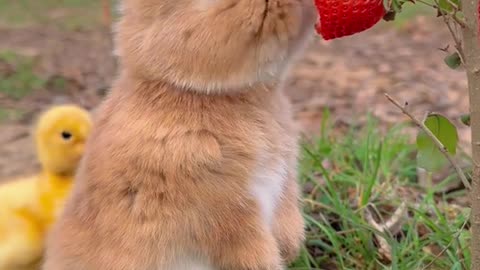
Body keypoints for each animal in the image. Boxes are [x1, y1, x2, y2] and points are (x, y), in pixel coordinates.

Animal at [43, 0, 316, 270]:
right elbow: (241, 238)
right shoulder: (215, 205)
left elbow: (286, 211)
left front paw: (290, 247)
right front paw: (268, 261)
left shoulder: (283, 180)